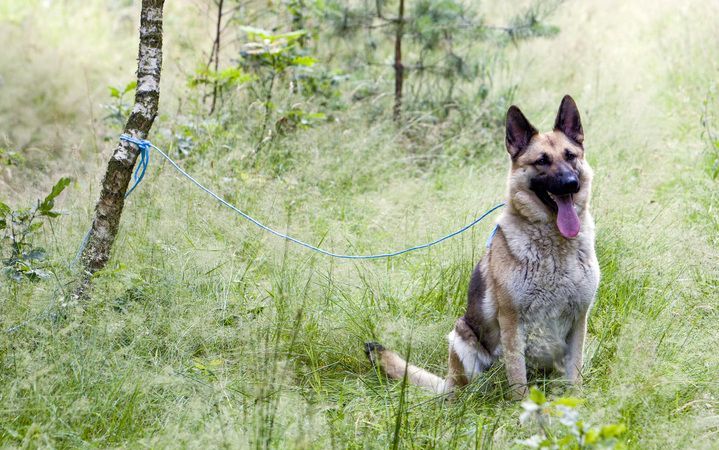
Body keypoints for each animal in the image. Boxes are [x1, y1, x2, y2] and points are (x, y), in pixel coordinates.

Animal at [366, 96, 600, 400]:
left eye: (570, 155)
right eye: (541, 161)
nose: (570, 184)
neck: (554, 248)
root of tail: (448, 382)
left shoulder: (579, 321)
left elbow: (576, 376)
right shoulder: (512, 323)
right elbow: (518, 378)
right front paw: (522, 408)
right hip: (461, 334)